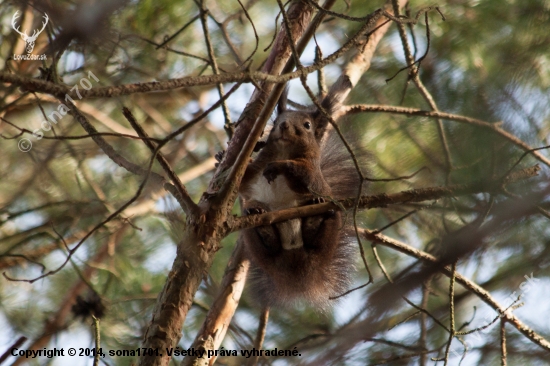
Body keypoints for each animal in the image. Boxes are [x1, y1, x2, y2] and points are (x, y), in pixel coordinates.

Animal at [237, 87, 366, 310]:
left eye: (307, 125)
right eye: (277, 119)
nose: (284, 125)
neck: (283, 151)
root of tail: (297, 266)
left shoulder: (312, 172)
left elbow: (304, 177)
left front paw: (279, 166)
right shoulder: (253, 175)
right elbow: (242, 183)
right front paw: (222, 157)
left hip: (330, 231)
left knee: (320, 232)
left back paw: (316, 216)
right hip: (253, 243)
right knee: (267, 245)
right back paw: (260, 220)